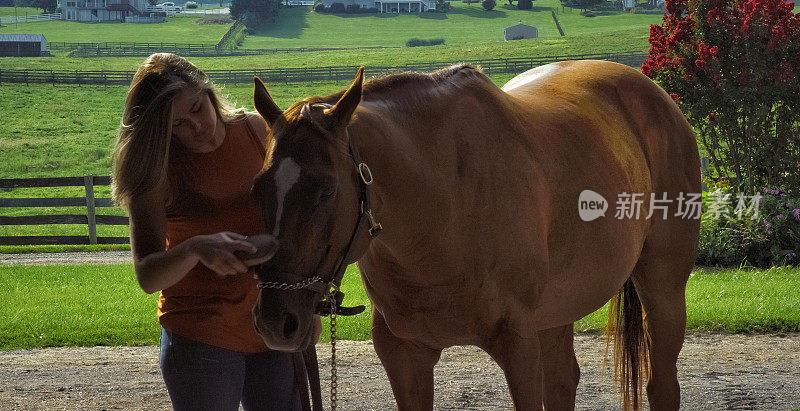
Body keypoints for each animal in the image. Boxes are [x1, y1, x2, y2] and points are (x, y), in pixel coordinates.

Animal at [250, 62, 700, 411]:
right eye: (259, 188)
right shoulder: (404, 355)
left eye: (327, 190)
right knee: (563, 383)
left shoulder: (519, 347)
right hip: (557, 313)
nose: (276, 322)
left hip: (663, 291)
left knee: (662, 386)